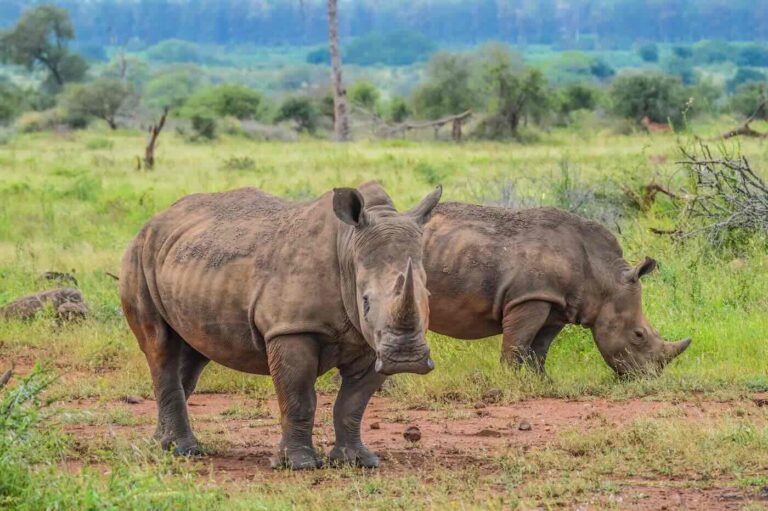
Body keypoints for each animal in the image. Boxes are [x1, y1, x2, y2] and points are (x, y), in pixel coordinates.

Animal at [120, 184, 442, 469]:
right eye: (366, 301)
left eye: (427, 296)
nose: (406, 359)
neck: (348, 246)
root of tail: (154, 219)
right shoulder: (290, 329)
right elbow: (298, 398)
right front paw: (298, 464)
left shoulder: (369, 343)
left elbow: (353, 404)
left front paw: (358, 461)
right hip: (138, 255)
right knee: (160, 346)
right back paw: (182, 451)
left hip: (189, 263)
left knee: (191, 352)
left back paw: (161, 446)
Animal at [357, 182, 691, 376]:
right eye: (638, 335)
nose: (649, 378)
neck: (602, 277)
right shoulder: (528, 297)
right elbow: (517, 343)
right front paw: (509, 381)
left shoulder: (556, 302)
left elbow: (539, 348)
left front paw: (540, 381)